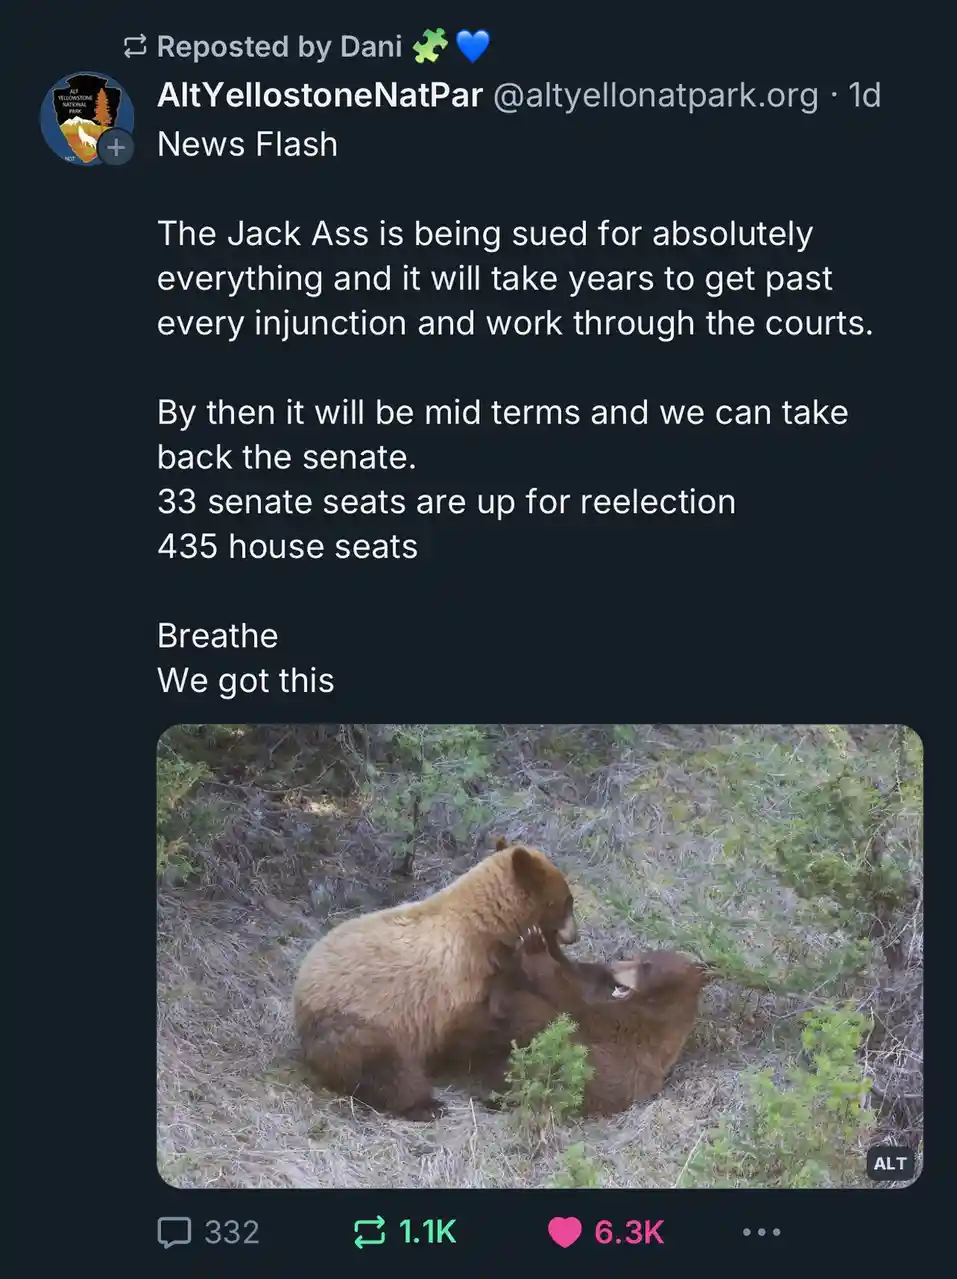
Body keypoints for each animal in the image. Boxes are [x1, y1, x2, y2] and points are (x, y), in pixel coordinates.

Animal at [292, 838, 577, 1121]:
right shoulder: (460, 977)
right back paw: (426, 1104)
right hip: (356, 1021)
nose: (575, 935)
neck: (490, 926)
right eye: (568, 901)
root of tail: (300, 989)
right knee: (386, 1067)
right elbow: (477, 1023)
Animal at [448, 926, 715, 1116]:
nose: (613, 965)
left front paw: (535, 946)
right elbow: (578, 979)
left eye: (646, 966)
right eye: (639, 955)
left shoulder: (628, 1025)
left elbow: (571, 1004)